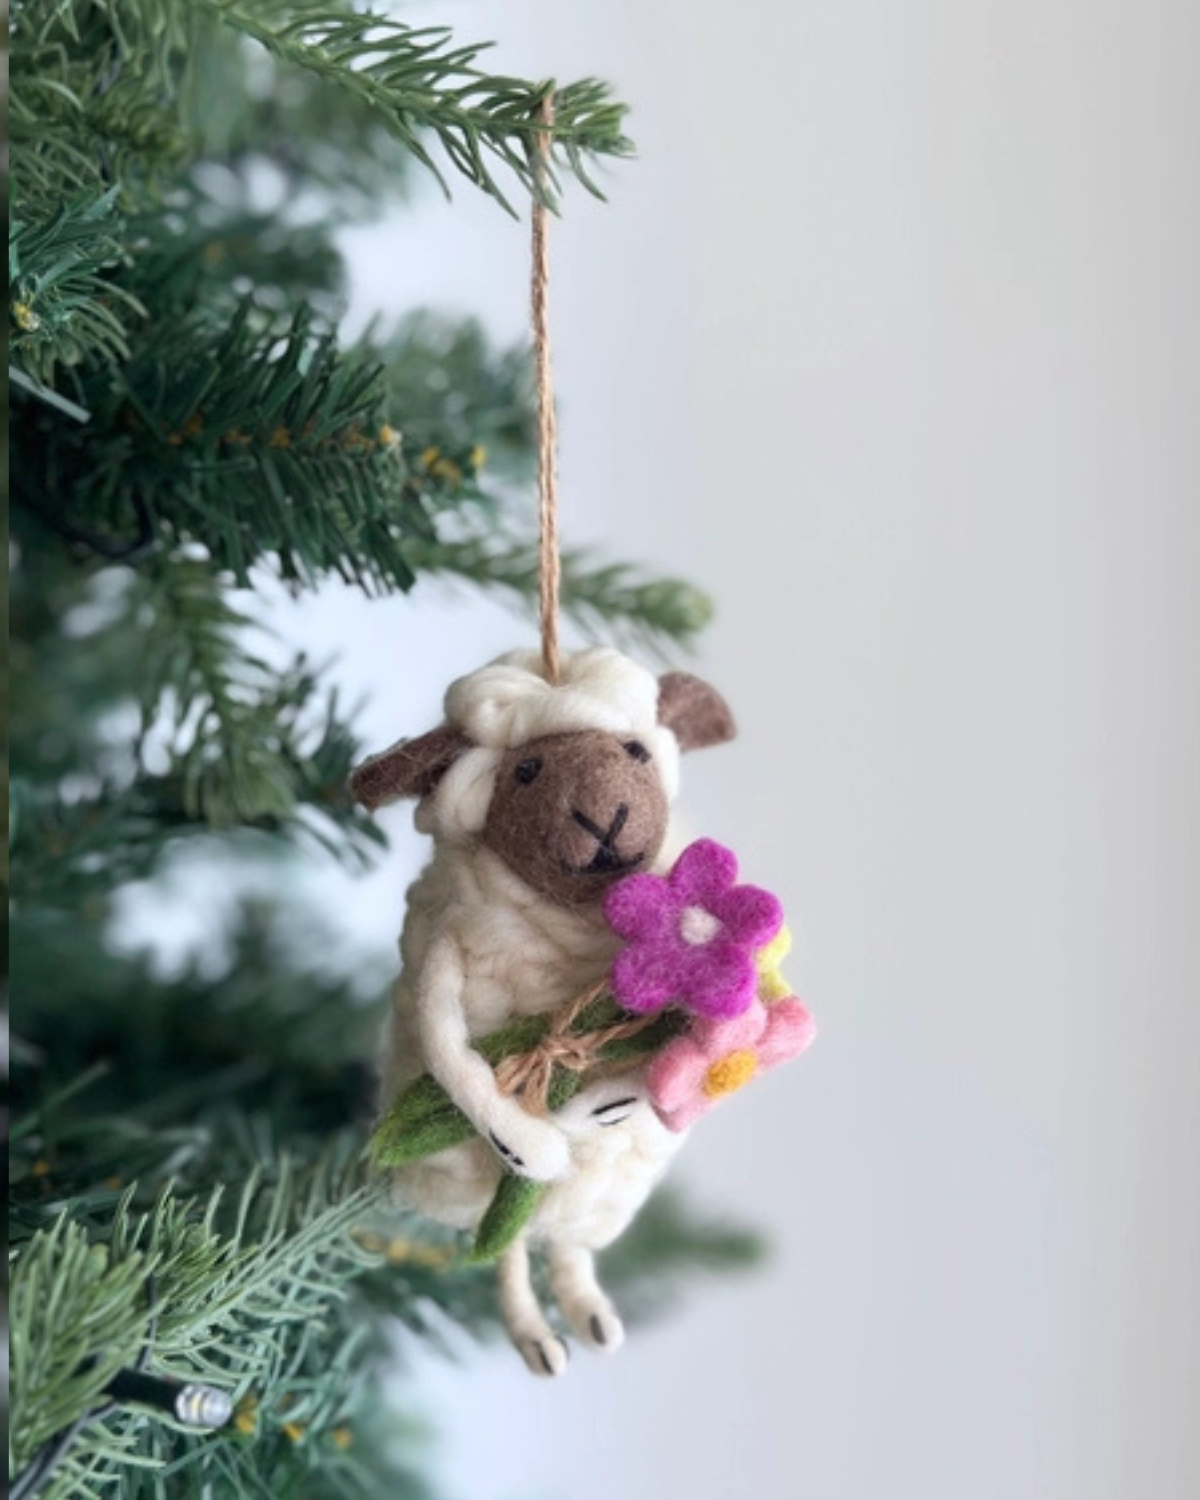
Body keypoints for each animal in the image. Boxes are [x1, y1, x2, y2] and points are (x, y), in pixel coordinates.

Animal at [350, 646, 735, 1375]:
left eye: (635, 751)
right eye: (526, 772)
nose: (603, 818)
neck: (577, 917)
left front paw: (611, 1104)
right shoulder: (449, 952)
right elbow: (452, 1058)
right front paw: (528, 1145)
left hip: (598, 1200)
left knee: (567, 1244)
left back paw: (592, 1315)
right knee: (504, 1253)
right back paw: (537, 1336)